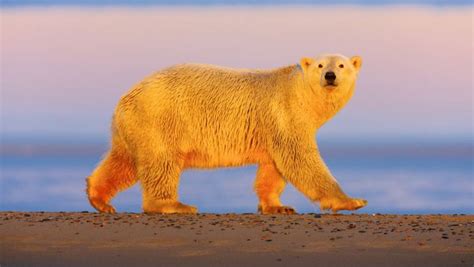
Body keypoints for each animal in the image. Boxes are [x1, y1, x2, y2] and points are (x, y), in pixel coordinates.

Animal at [86, 54, 366, 216]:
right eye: (321, 64)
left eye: (341, 65)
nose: (330, 75)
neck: (300, 92)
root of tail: (126, 97)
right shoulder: (285, 113)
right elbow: (300, 160)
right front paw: (352, 201)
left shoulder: (273, 128)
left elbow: (273, 168)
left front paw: (278, 206)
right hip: (160, 120)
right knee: (161, 162)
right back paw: (174, 205)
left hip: (134, 126)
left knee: (122, 161)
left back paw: (98, 198)